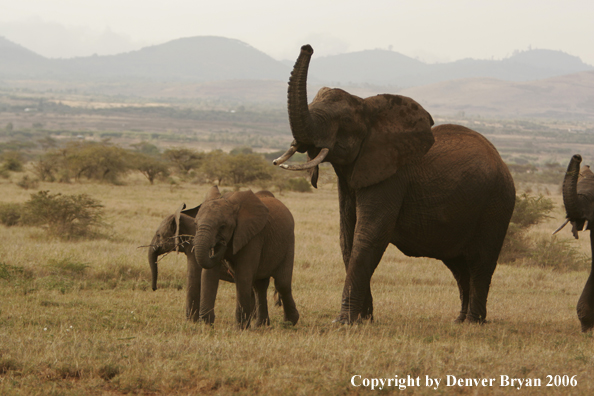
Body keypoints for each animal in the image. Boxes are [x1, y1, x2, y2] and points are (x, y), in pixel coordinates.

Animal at [192, 186, 298, 328]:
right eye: (195, 224)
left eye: (222, 226)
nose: (222, 243)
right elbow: (209, 274)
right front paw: (206, 325)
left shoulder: (253, 236)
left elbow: (243, 275)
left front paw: (240, 328)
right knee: (259, 286)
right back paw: (261, 325)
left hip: (288, 243)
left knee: (282, 283)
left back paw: (290, 323)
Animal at [276, 44, 516, 324]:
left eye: (344, 122)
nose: (308, 47)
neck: (367, 105)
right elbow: (347, 238)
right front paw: (363, 320)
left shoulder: (392, 177)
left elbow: (368, 236)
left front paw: (345, 321)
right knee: (458, 264)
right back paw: (459, 321)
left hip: (496, 203)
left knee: (480, 261)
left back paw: (473, 322)